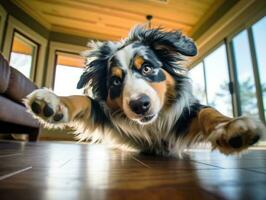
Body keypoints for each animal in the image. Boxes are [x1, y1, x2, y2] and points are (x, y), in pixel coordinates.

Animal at [23, 25, 264, 156]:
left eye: (147, 67)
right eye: (115, 81)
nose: (140, 105)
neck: (152, 125)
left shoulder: (182, 117)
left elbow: (208, 111)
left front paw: (232, 128)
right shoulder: (106, 113)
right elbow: (84, 100)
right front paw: (53, 103)